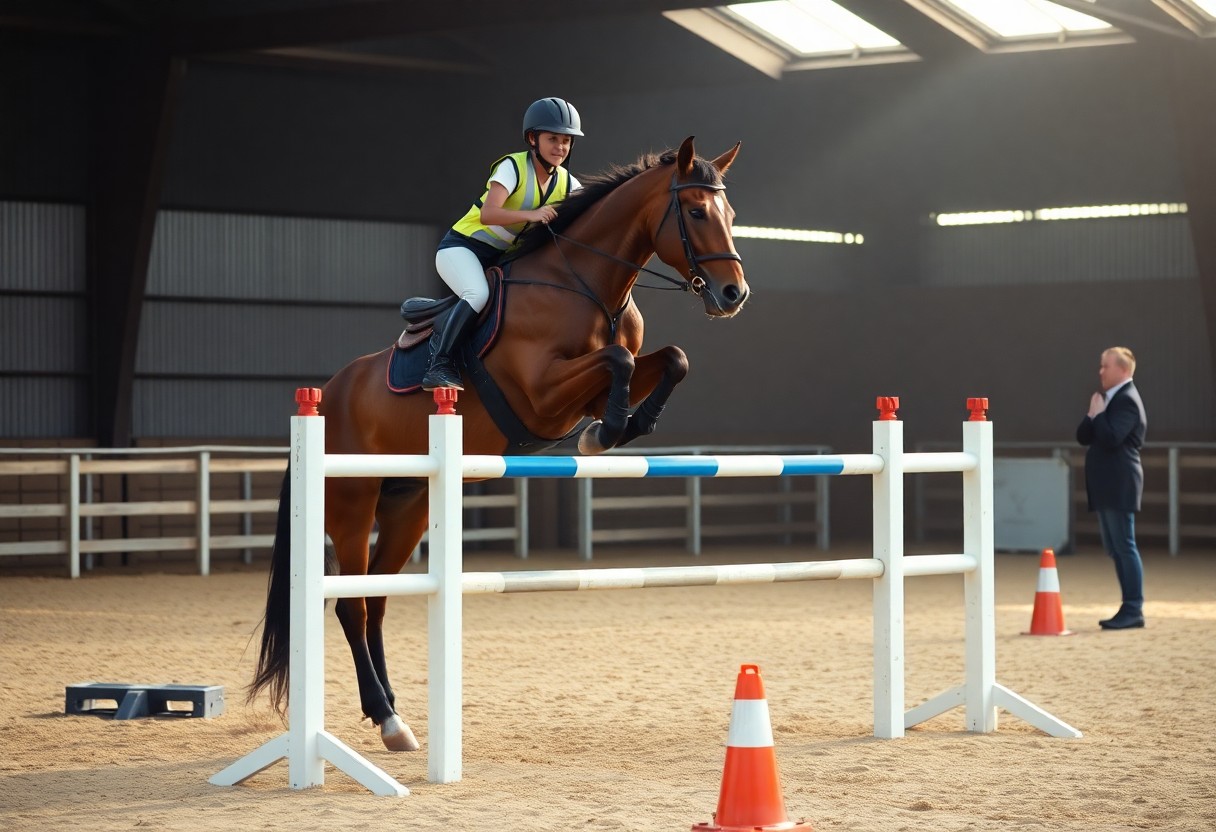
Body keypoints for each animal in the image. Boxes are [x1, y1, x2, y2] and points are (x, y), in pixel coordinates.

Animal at [249, 136, 749, 752]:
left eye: (730, 214)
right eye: (697, 212)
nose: (733, 294)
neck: (588, 285)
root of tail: (329, 393)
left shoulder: (584, 391)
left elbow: (670, 359)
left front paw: (626, 425)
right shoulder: (543, 393)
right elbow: (619, 359)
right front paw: (606, 433)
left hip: (409, 504)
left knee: (378, 602)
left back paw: (394, 717)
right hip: (351, 503)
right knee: (351, 606)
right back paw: (386, 717)